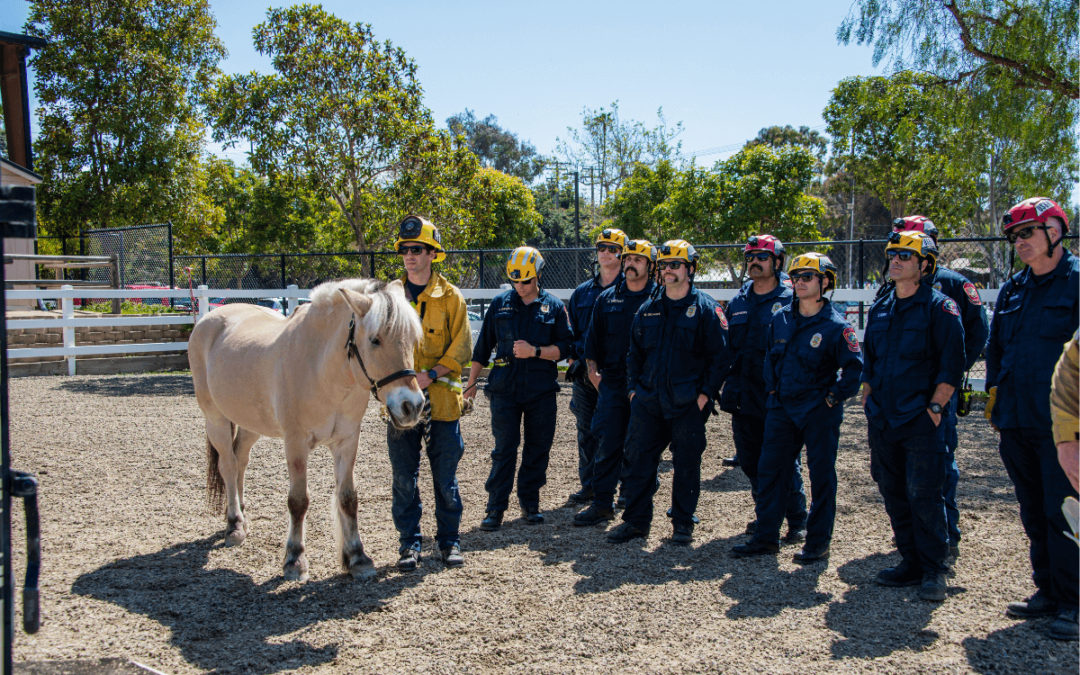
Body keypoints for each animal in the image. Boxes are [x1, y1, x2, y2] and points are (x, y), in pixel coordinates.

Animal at [188, 278, 425, 581]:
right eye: (375, 340)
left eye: (413, 340)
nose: (412, 406)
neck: (322, 369)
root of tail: (208, 319)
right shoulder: (296, 443)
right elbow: (298, 501)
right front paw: (294, 560)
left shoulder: (347, 441)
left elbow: (348, 498)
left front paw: (358, 558)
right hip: (215, 419)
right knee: (228, 466)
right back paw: (234, 525)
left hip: (251, 422)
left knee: (240, 459)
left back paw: (241, 513)